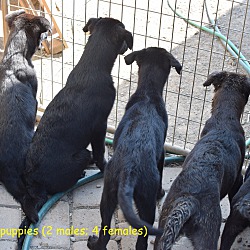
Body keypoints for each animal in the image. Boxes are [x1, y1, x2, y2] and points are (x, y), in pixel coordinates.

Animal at [87, 47, 182, 250]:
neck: (148, 92)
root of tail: (129, 170)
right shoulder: (162, 154)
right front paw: (161, 193)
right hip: (146, 203)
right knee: (142, 240)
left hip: (107, 194)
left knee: (105, 232)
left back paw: (94, 243)